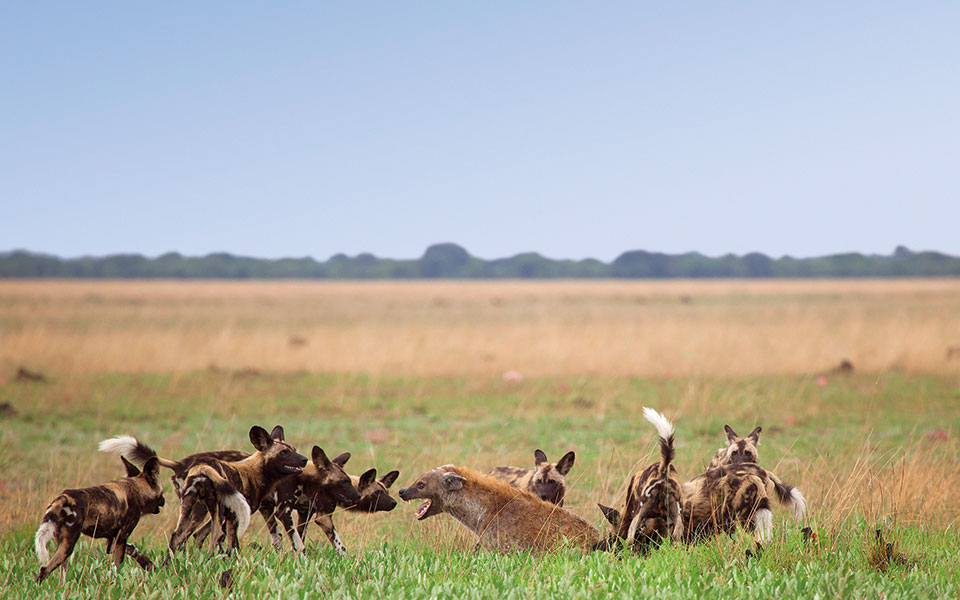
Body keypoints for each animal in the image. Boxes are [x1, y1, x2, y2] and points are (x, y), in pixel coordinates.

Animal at [34, 452, 164, 584]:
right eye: (162, 493)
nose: (164, 501)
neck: (136, 489)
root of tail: (64, 497)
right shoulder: (121, 537)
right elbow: (118, 567)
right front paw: (117, 584)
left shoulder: (112, 541)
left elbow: (132, 549)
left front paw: (148, 564)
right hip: (68, 545)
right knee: (45, 570)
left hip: (62, 546)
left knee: (59, 574)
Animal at [600, 408, 684, 552]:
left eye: (613, 537)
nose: (612, 546)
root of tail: (663, 469)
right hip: (677, 517)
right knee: (676, 541)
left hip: (639, 514)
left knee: (630, 540)